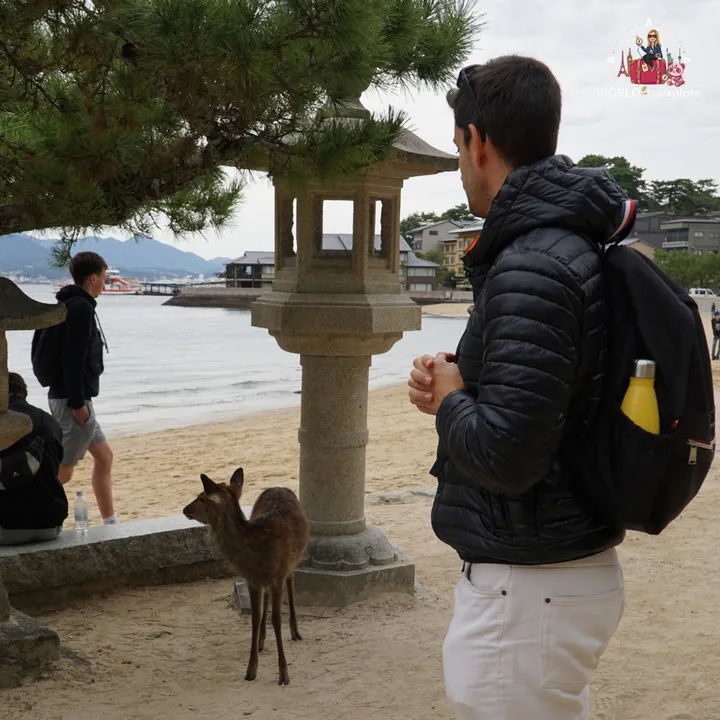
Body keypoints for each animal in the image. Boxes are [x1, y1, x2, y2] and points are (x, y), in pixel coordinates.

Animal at [182, 467, 309, 685]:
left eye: (201, 498)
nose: (185, 509)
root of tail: (278, 486)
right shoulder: (252, 580)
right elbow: (255, 619)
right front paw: (251, 670)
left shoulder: (277, 576)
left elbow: (277, 619)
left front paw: (284, 674)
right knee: (267, 600)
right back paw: (261, 641)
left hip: (293, 561)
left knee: (291, 583)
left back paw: (295, 632)